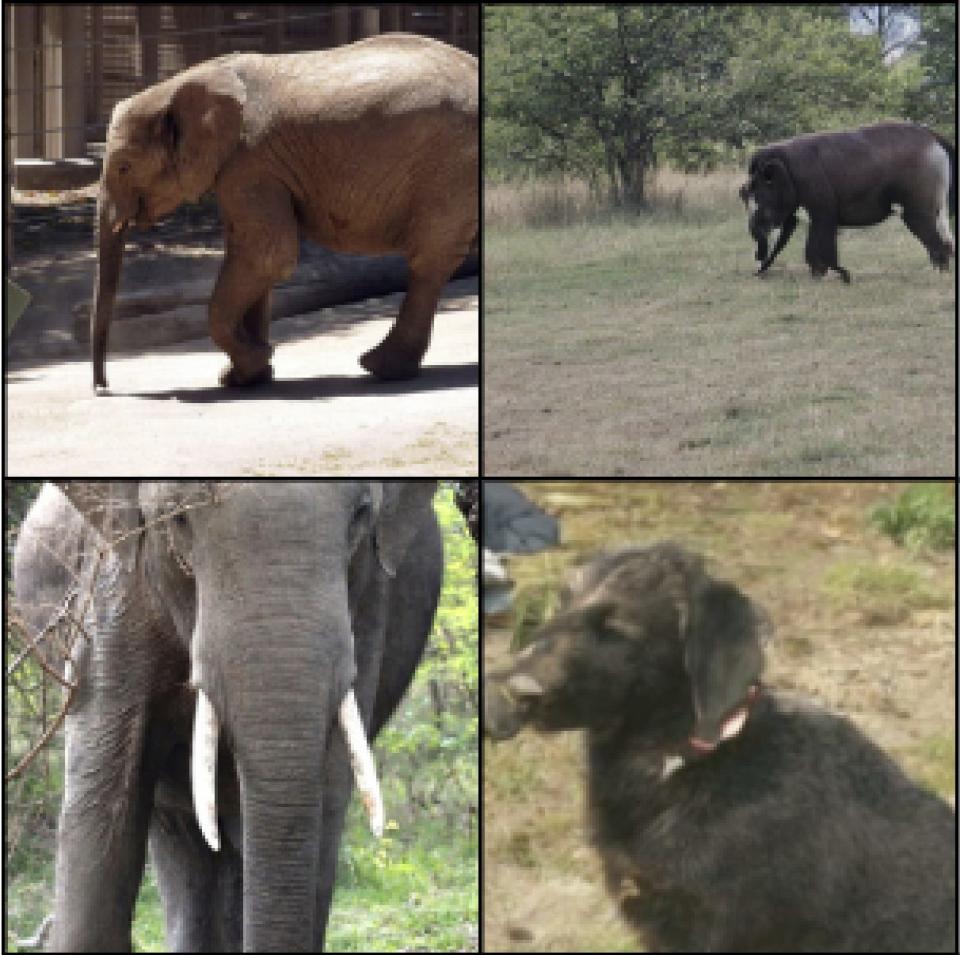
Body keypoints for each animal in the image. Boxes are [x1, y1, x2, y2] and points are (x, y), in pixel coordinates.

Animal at [13, 482, 444, 952]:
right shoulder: (114, 593)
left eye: (363, 514)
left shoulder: (369, 606)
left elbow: (328, 788)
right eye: (178, 518)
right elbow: (104, 789)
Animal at [92, 34, 478, 392]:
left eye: (124, 167)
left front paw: (254, 363)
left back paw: (380, 368)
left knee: (429, 260)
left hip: (450, 168)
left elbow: (267, 255)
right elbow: (254, 258)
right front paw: (246, 377)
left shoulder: (251, 163)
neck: (179, 85)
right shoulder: (248, 170)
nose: (103, 388)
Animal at [740, 121, 956, 282]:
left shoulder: (820, 199)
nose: (757, 266)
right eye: (743, 195)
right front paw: (825, 275)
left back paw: (938, 275)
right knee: (945, 237)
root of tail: (932, 135)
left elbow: (820, 236)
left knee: (932, 236)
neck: (783, 160)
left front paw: (826, 275)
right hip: (937, 203)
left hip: (917, 202)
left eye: (764, 209)